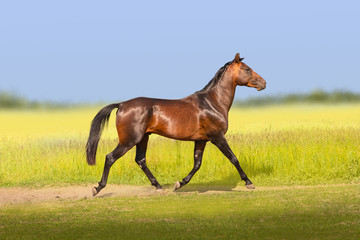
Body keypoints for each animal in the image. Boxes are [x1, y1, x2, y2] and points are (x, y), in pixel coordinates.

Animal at [86, 53, 266, 196]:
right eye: (247, 69)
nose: (264, 83)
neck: (212, 102)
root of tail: (122, 104)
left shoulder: (201, 140)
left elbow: (197, 164)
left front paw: (179, 184)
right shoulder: (217, 137)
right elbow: (233, 158)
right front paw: (249, 183)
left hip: (143, 138)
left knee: (141, 160)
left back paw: (158, 186)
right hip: (129, 140)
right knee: (110, 157)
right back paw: (97, 188)